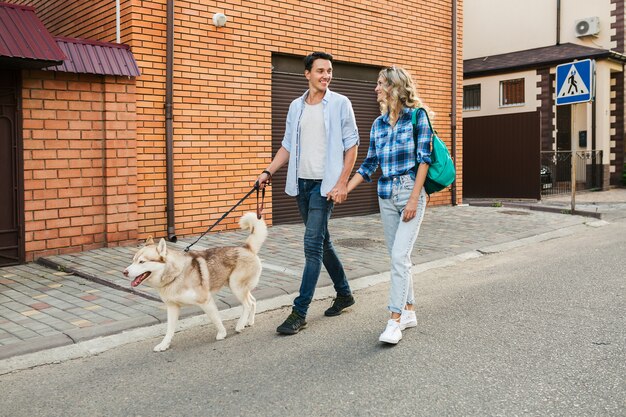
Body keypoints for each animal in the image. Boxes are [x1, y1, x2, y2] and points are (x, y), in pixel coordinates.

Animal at [123, 211, 266, 352]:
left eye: (142, 262)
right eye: (133, 260)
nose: (124, 272)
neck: (177, 274)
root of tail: (247, 248)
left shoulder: (206, 301)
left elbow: (216, 319)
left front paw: (222, 333)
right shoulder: (172, 307)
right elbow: (169, 330)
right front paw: (164, 345)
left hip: (236, 286)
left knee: (247, 304)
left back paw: (240, 325)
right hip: (237, 287)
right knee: (253, 301)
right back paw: (249, 322)